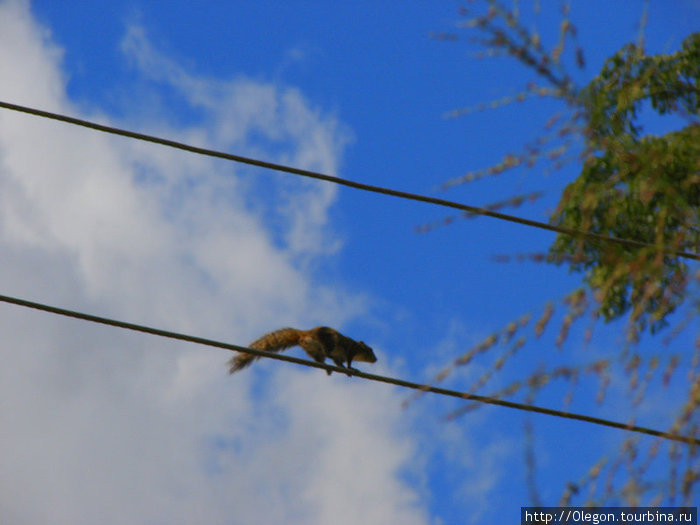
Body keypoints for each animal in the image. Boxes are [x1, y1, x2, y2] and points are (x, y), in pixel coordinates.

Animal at [227, 326, 374, 374]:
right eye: (370, 350)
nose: (376, 359)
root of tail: (304, 334)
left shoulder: (341, 356)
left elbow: (340, 363)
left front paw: (346, 369)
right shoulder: (350, 350)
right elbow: (348, 362)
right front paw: (351, 369)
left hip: (313, 350)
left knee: (319, 359)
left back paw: (326, 368)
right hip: (326, 342)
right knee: (327, 352)